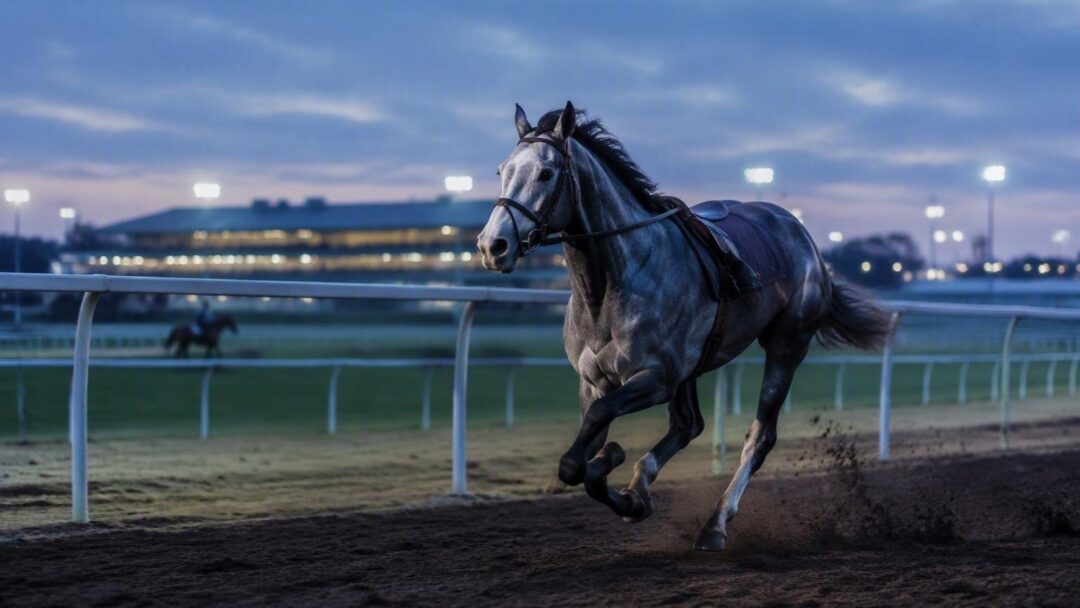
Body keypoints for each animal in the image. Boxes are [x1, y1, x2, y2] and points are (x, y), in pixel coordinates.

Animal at [476, 102, 892, 551]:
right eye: (502, 170)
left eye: (546, 173)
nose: (492, 245)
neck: (612, 281)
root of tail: (803, 235)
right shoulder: (594, 382)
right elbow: (585, 455)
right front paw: (629, 491)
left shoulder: (656, 377)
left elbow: (578, 459)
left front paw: (615, 463)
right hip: (693, 369)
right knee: (688, 423)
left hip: (786, 344)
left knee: (759, 436)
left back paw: (715, 523)